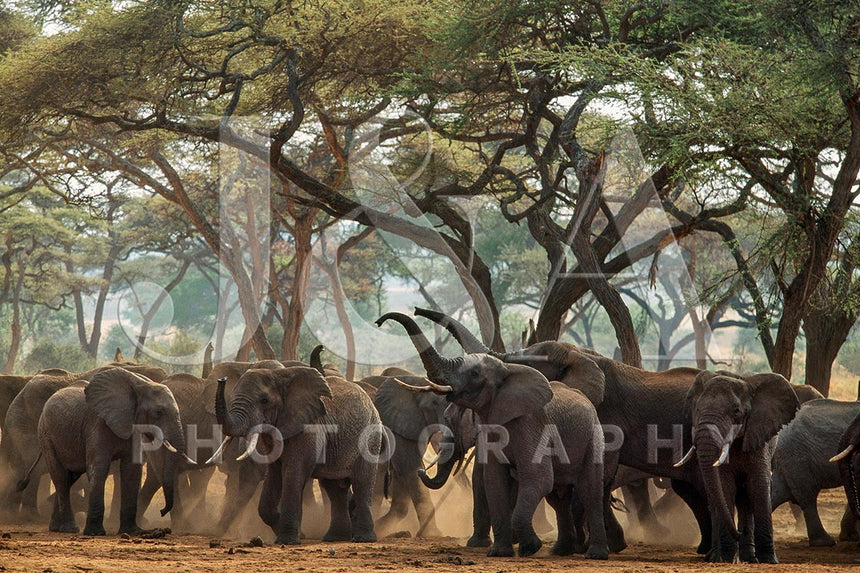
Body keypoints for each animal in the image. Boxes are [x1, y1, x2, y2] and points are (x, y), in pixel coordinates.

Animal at [35, 367, 189, 535]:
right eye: (158, 412)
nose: (162, 511)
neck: (141, 385)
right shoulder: (97, 423)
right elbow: (99, 468)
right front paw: (95, 533)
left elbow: (131, 470)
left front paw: (132, 531)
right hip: (46, 436)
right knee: (61, 477)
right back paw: (70, 529)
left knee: (69, 478)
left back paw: (56, 528)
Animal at [214, 365, 383, 545]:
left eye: (264, 400)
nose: (222, 379)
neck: (280, 376)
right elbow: (273, 476)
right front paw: (296, 534)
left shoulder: (309, 428)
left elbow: (293, 474)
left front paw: (288, 541)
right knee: (335, 489)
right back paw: (334, 538)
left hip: (370, 438)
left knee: (361, 483)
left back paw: (363, 539)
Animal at [379, 312, 608, 559]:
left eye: (474, 373)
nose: (380, 321)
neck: (508, 373)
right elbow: (493, 480)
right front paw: (499, 552)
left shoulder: (533, 425)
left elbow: (537, 478)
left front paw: (529, 547)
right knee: (559, 497)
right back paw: (561, 551)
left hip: (594, 437)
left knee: (589, 492)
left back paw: (595, 554)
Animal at [413, 307, 708, 555]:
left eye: (530, 363)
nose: (416, 310)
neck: (581, 354)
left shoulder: (605, 418)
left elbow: (597, 478)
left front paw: (589, 546)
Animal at [677, 370, 799, 563]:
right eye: (697, 409)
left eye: (736, 411)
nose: (738, 533)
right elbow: (725, 486)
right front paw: (726, 558)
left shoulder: (758, 436)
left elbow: (758, 486)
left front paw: (769, 560)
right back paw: (719, 557)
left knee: (746, 498)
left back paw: (749, 557)